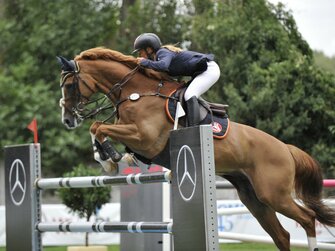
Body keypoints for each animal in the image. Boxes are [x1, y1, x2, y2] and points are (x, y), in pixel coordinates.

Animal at [57, 47, 335, 251]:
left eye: (69, 85)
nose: (67, 120)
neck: (136, 92)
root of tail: (286, 149)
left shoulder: (145, 138)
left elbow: (98, 127)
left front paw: (110, 158)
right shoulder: (138, 141)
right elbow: (100, 129)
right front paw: (110, 159)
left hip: (274, 194)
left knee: (307, 218)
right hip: (254, 198)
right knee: (282, 235)